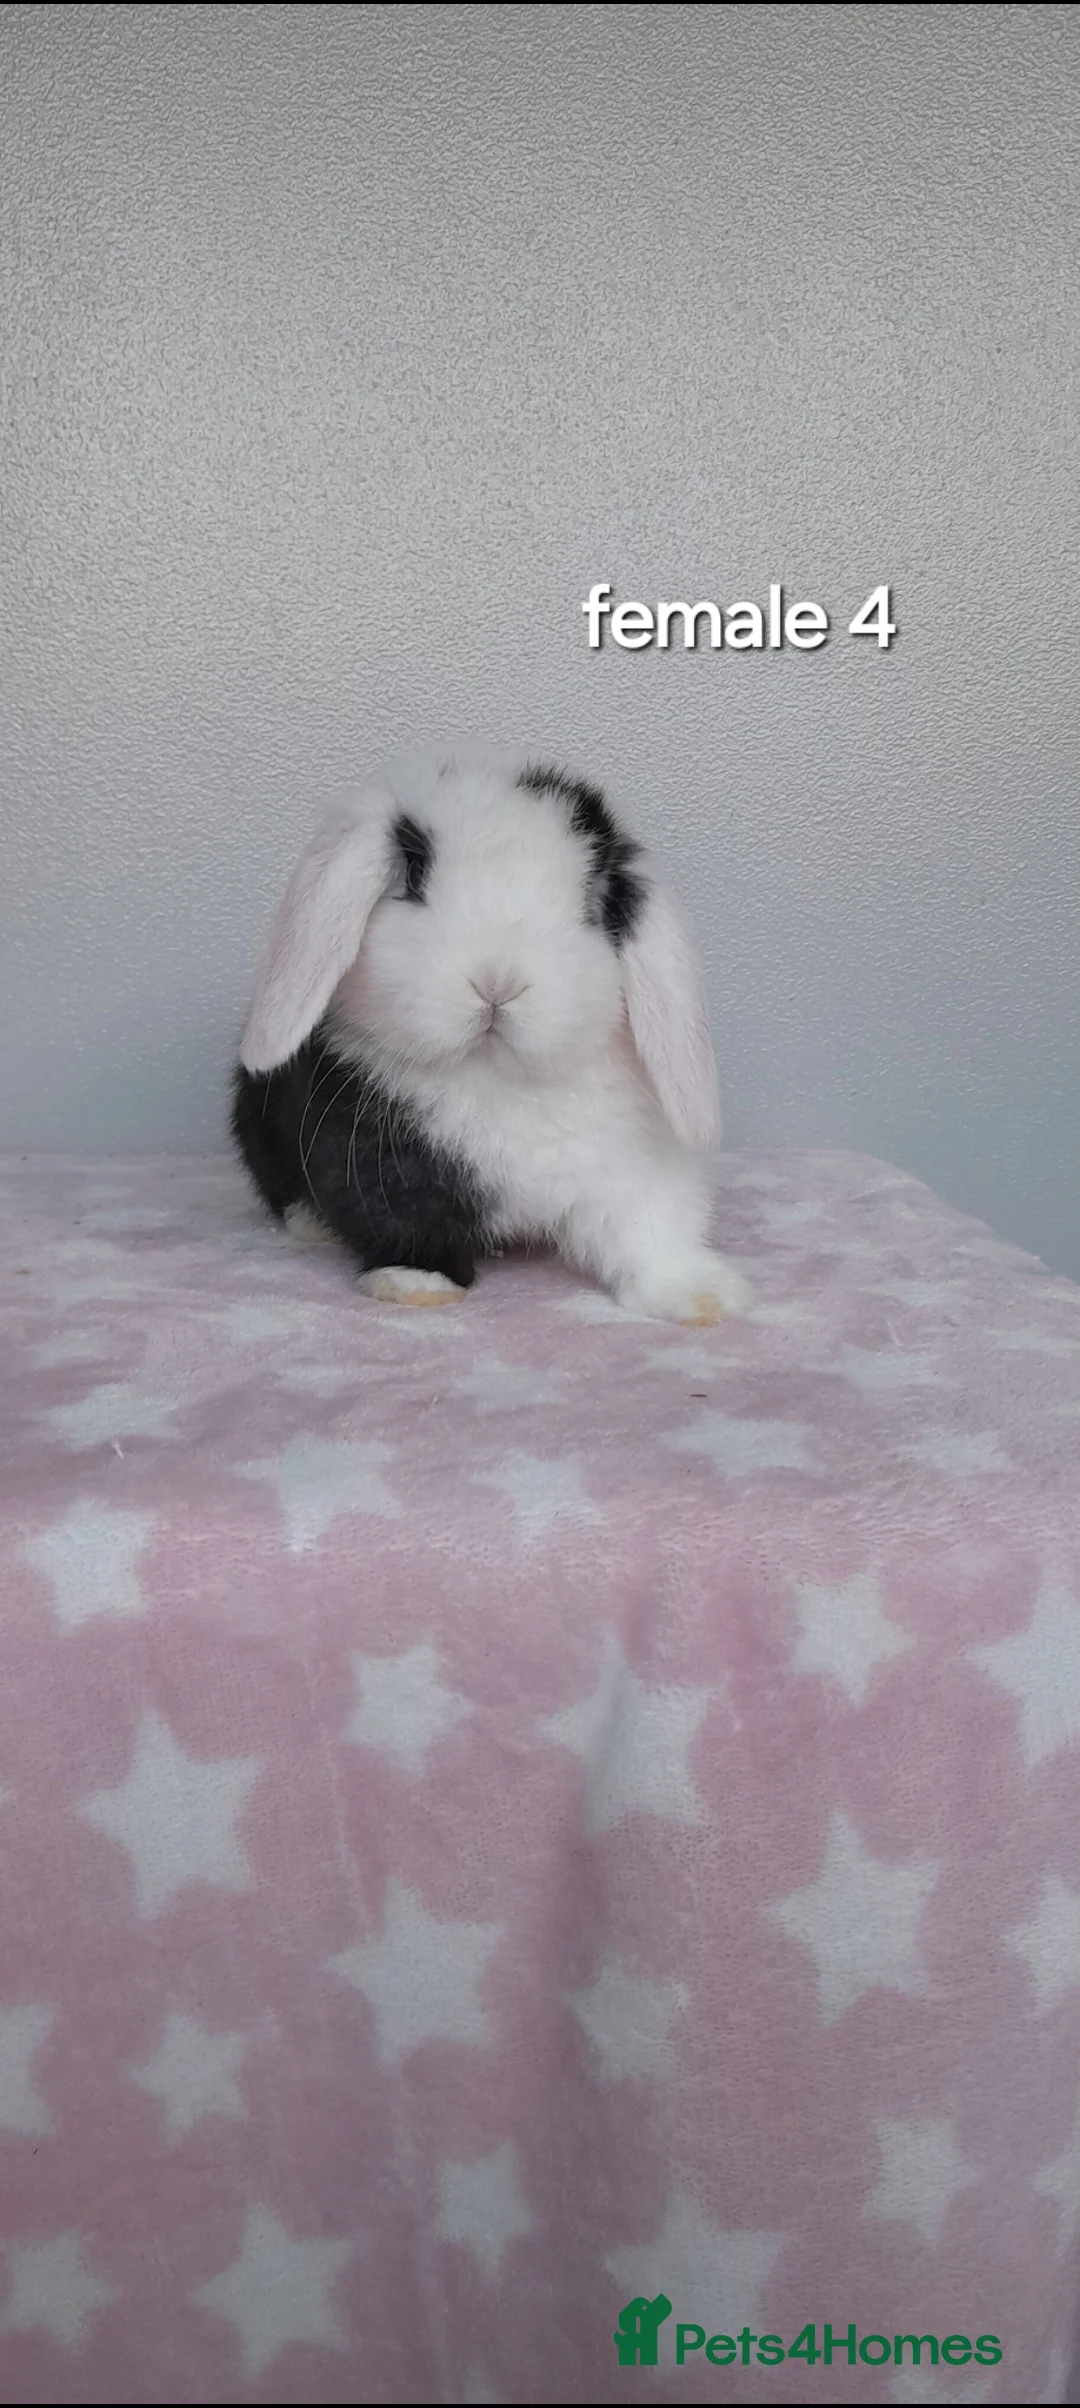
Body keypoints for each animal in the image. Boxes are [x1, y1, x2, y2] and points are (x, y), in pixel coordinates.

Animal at [231, 742, 750, 1325]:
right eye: (414, 878)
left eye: (590, 906)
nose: (497, 982)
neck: (497, 1077)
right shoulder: (369, 1156)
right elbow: (403, 1221)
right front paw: (416, 1284)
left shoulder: (636, 1162)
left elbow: (653, 1229)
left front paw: (702, 1298)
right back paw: (312, 1227)